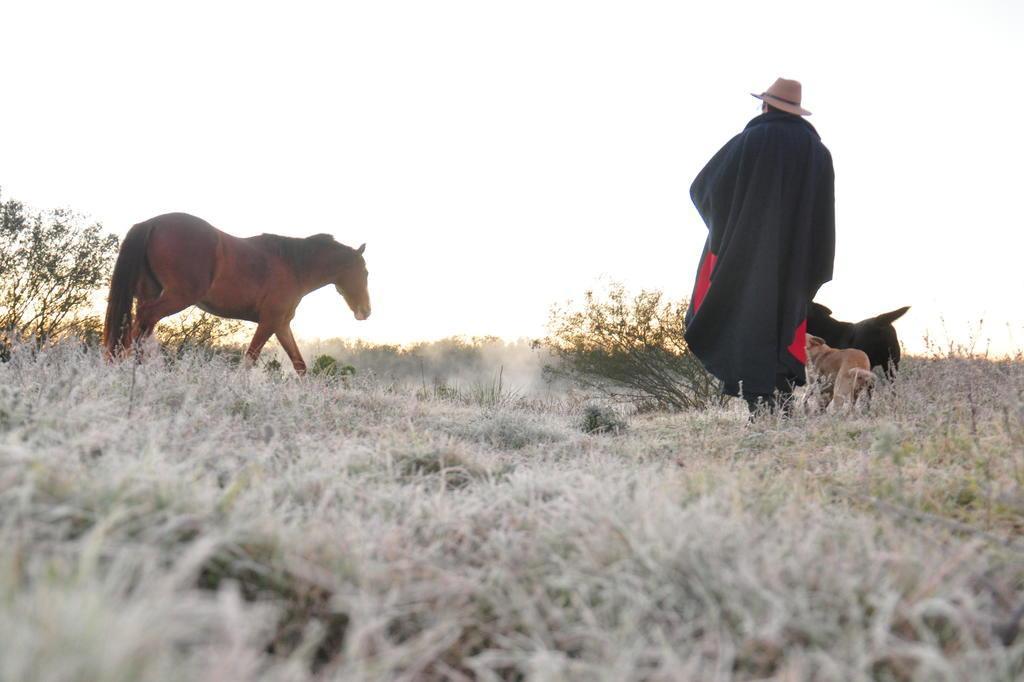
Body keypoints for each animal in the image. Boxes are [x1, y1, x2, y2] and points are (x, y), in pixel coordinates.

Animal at [99, 212, 370, 372]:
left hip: (151, 293)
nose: (366, 311)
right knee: (144, 321)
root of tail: (152, 223)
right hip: (176, 297)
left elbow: (299, 364)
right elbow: (250, 359)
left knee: (139, 326)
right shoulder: (269, 321)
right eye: (365, 273)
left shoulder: (281, 325)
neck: (293, 265)